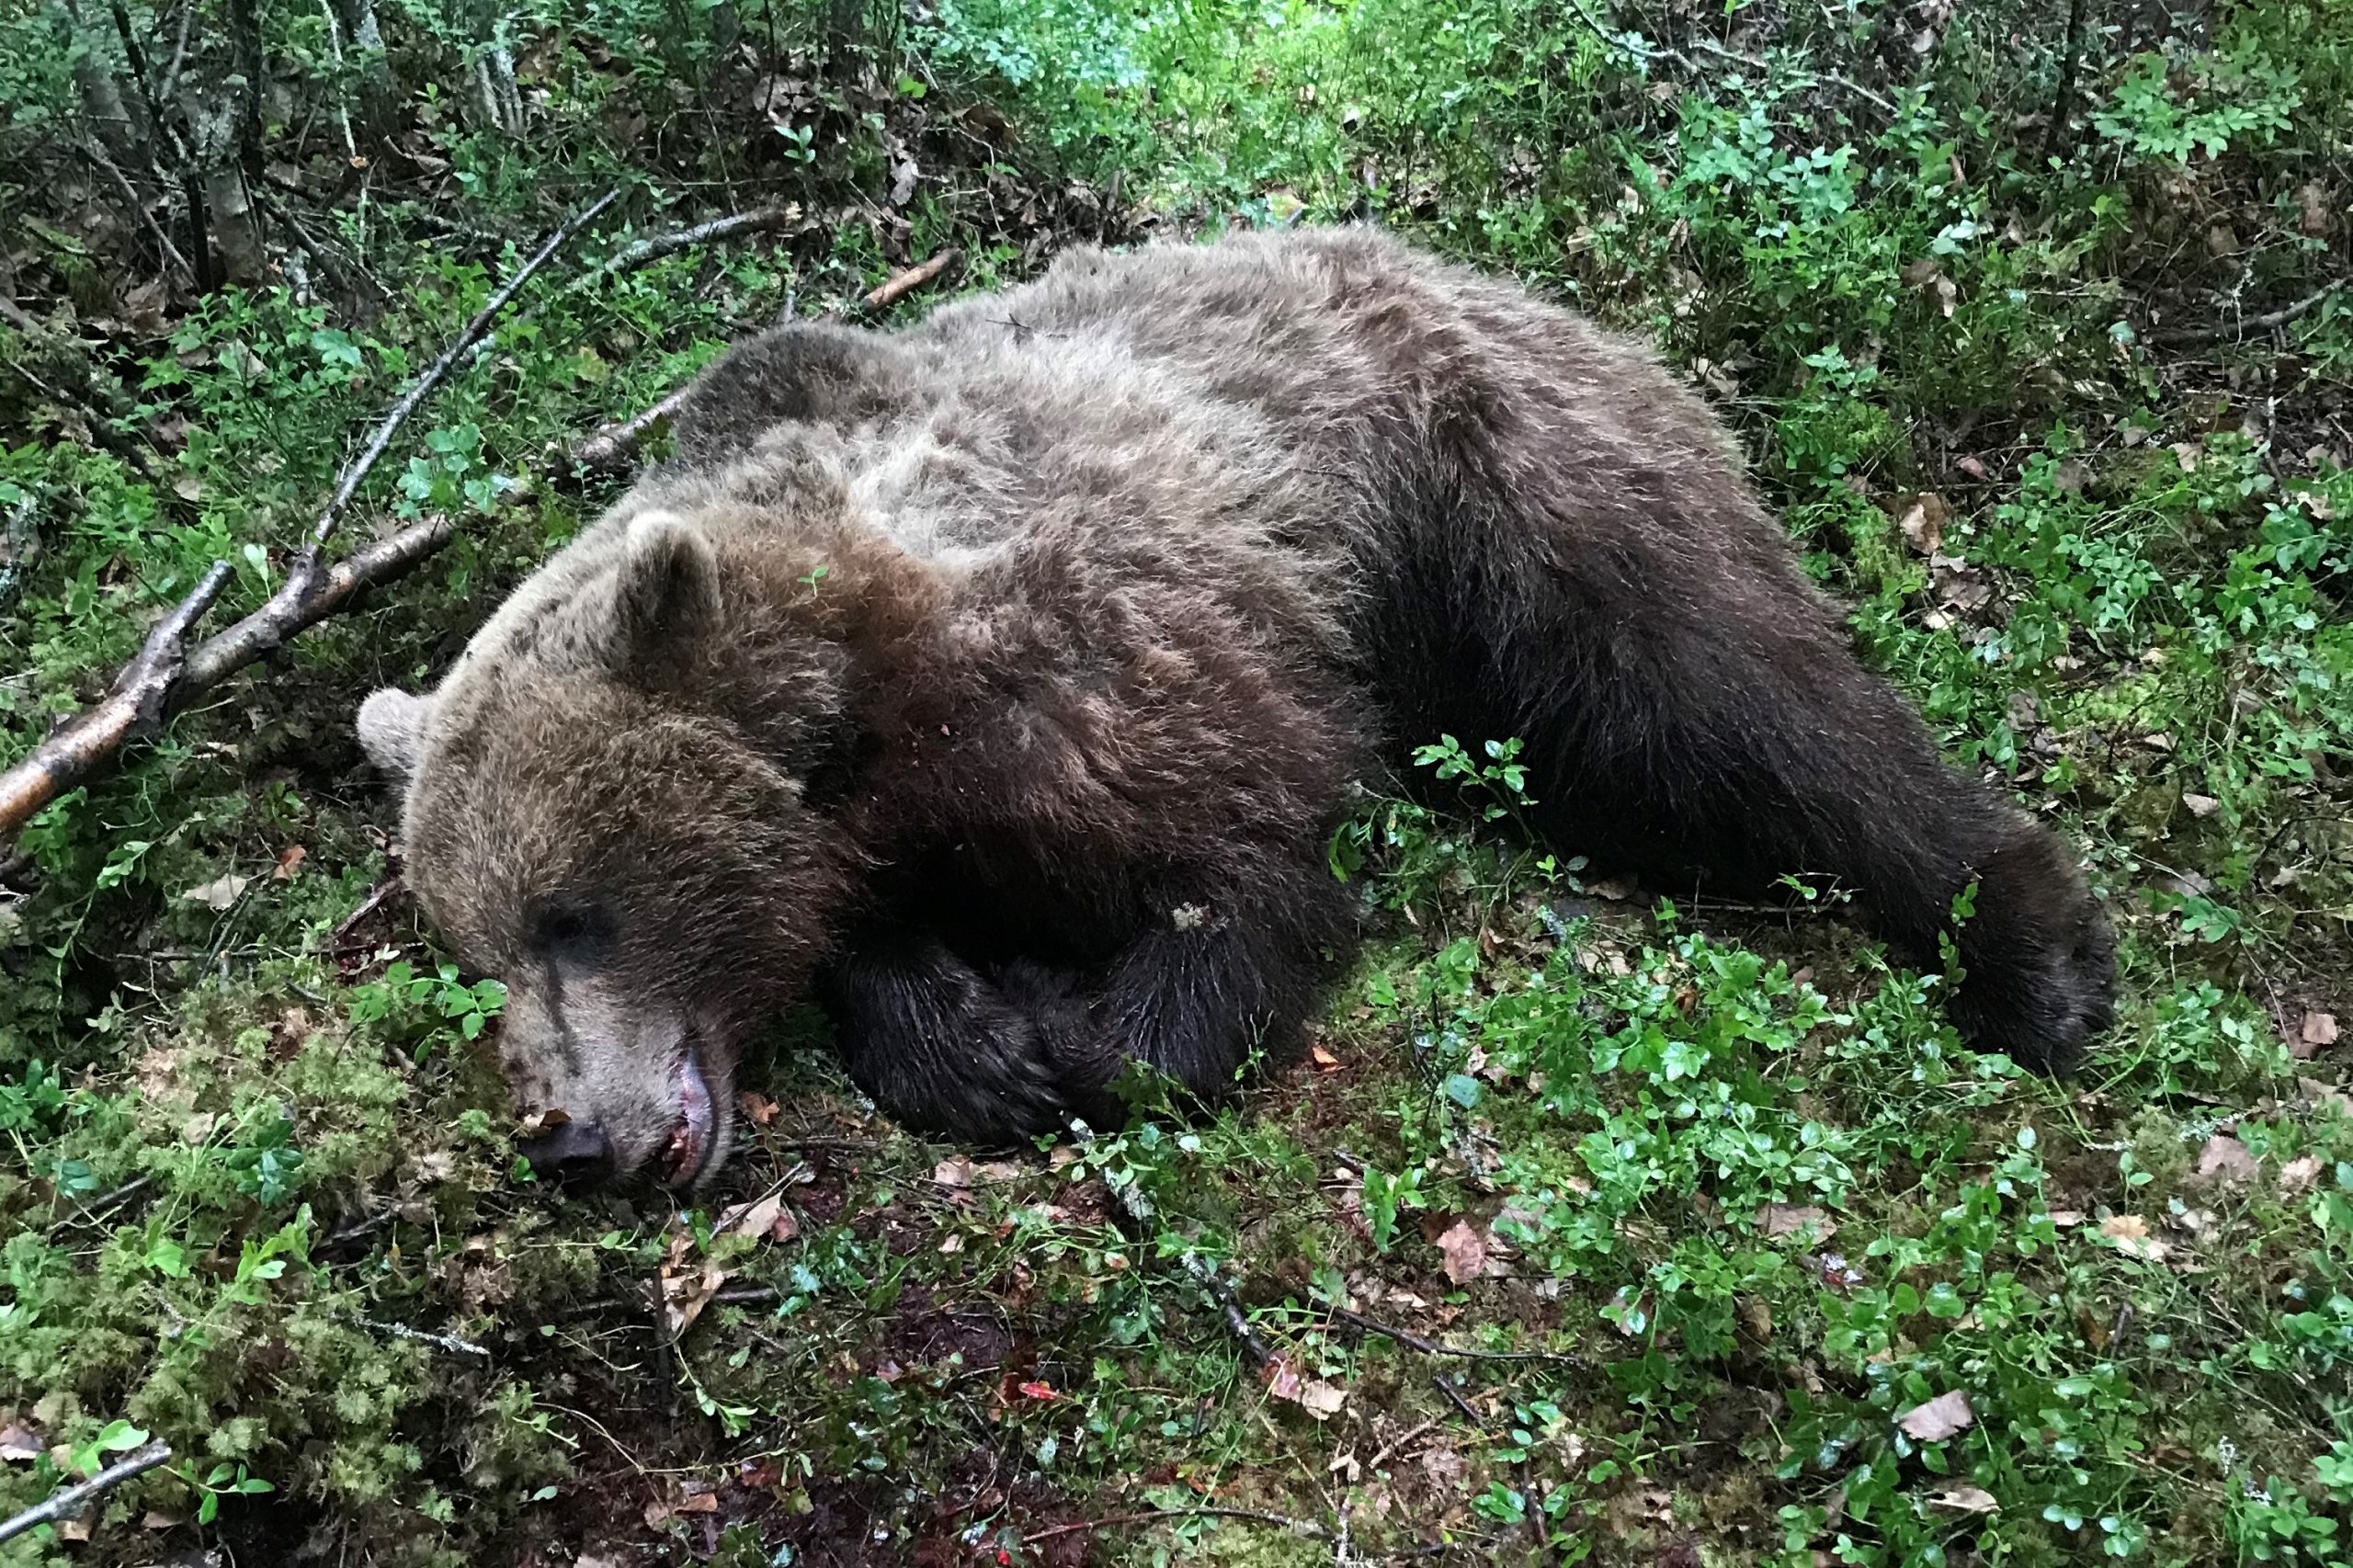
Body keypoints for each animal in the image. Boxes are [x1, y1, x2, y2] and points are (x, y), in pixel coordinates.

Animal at [357, 225, 2114, 1189]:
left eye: (572, 910)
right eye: (477, 943)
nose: (571, 1138)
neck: (873, 683)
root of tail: (1527, 290)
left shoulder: (1115, 668)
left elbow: (1247, 862)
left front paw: (1074, 1028)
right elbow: (861, 931)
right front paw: (963, 1031)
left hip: (1512, 497)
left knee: (1731, 711)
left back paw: (2033, 948)